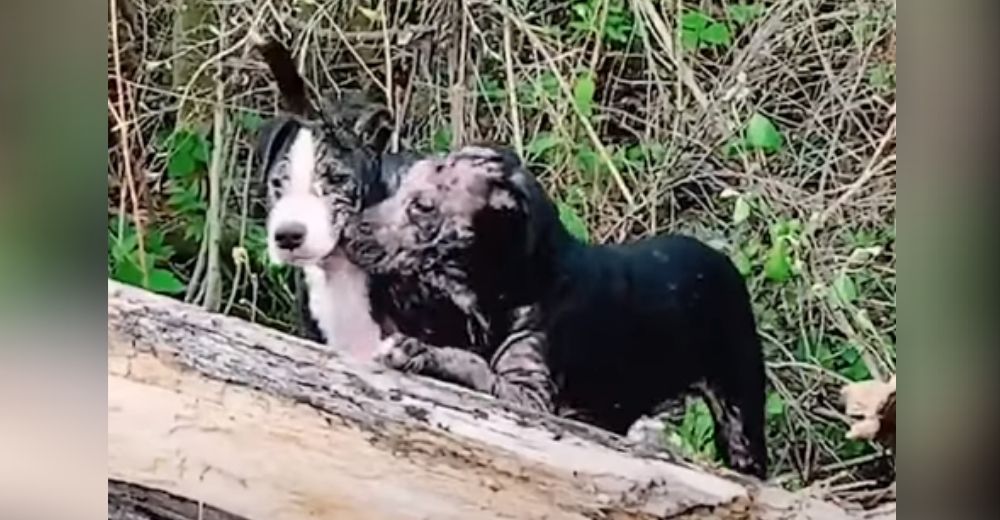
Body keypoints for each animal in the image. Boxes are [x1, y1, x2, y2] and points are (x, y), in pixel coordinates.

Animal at [342, 144, 764, 478]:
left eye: (424, 206)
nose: (347, 231)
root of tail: (721, 258)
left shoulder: (533, 396)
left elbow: (473, 365)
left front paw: (418, 352)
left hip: (740, 410)